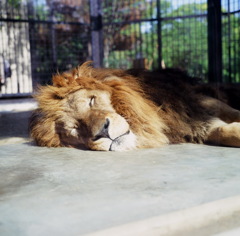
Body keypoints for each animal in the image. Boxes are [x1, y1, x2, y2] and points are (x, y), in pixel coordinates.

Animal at [28, 61, 240, 150]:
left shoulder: (200, 104)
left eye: (91, 100)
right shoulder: (196, 126)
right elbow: (226, 132)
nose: (103, 132)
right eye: (74, 130)